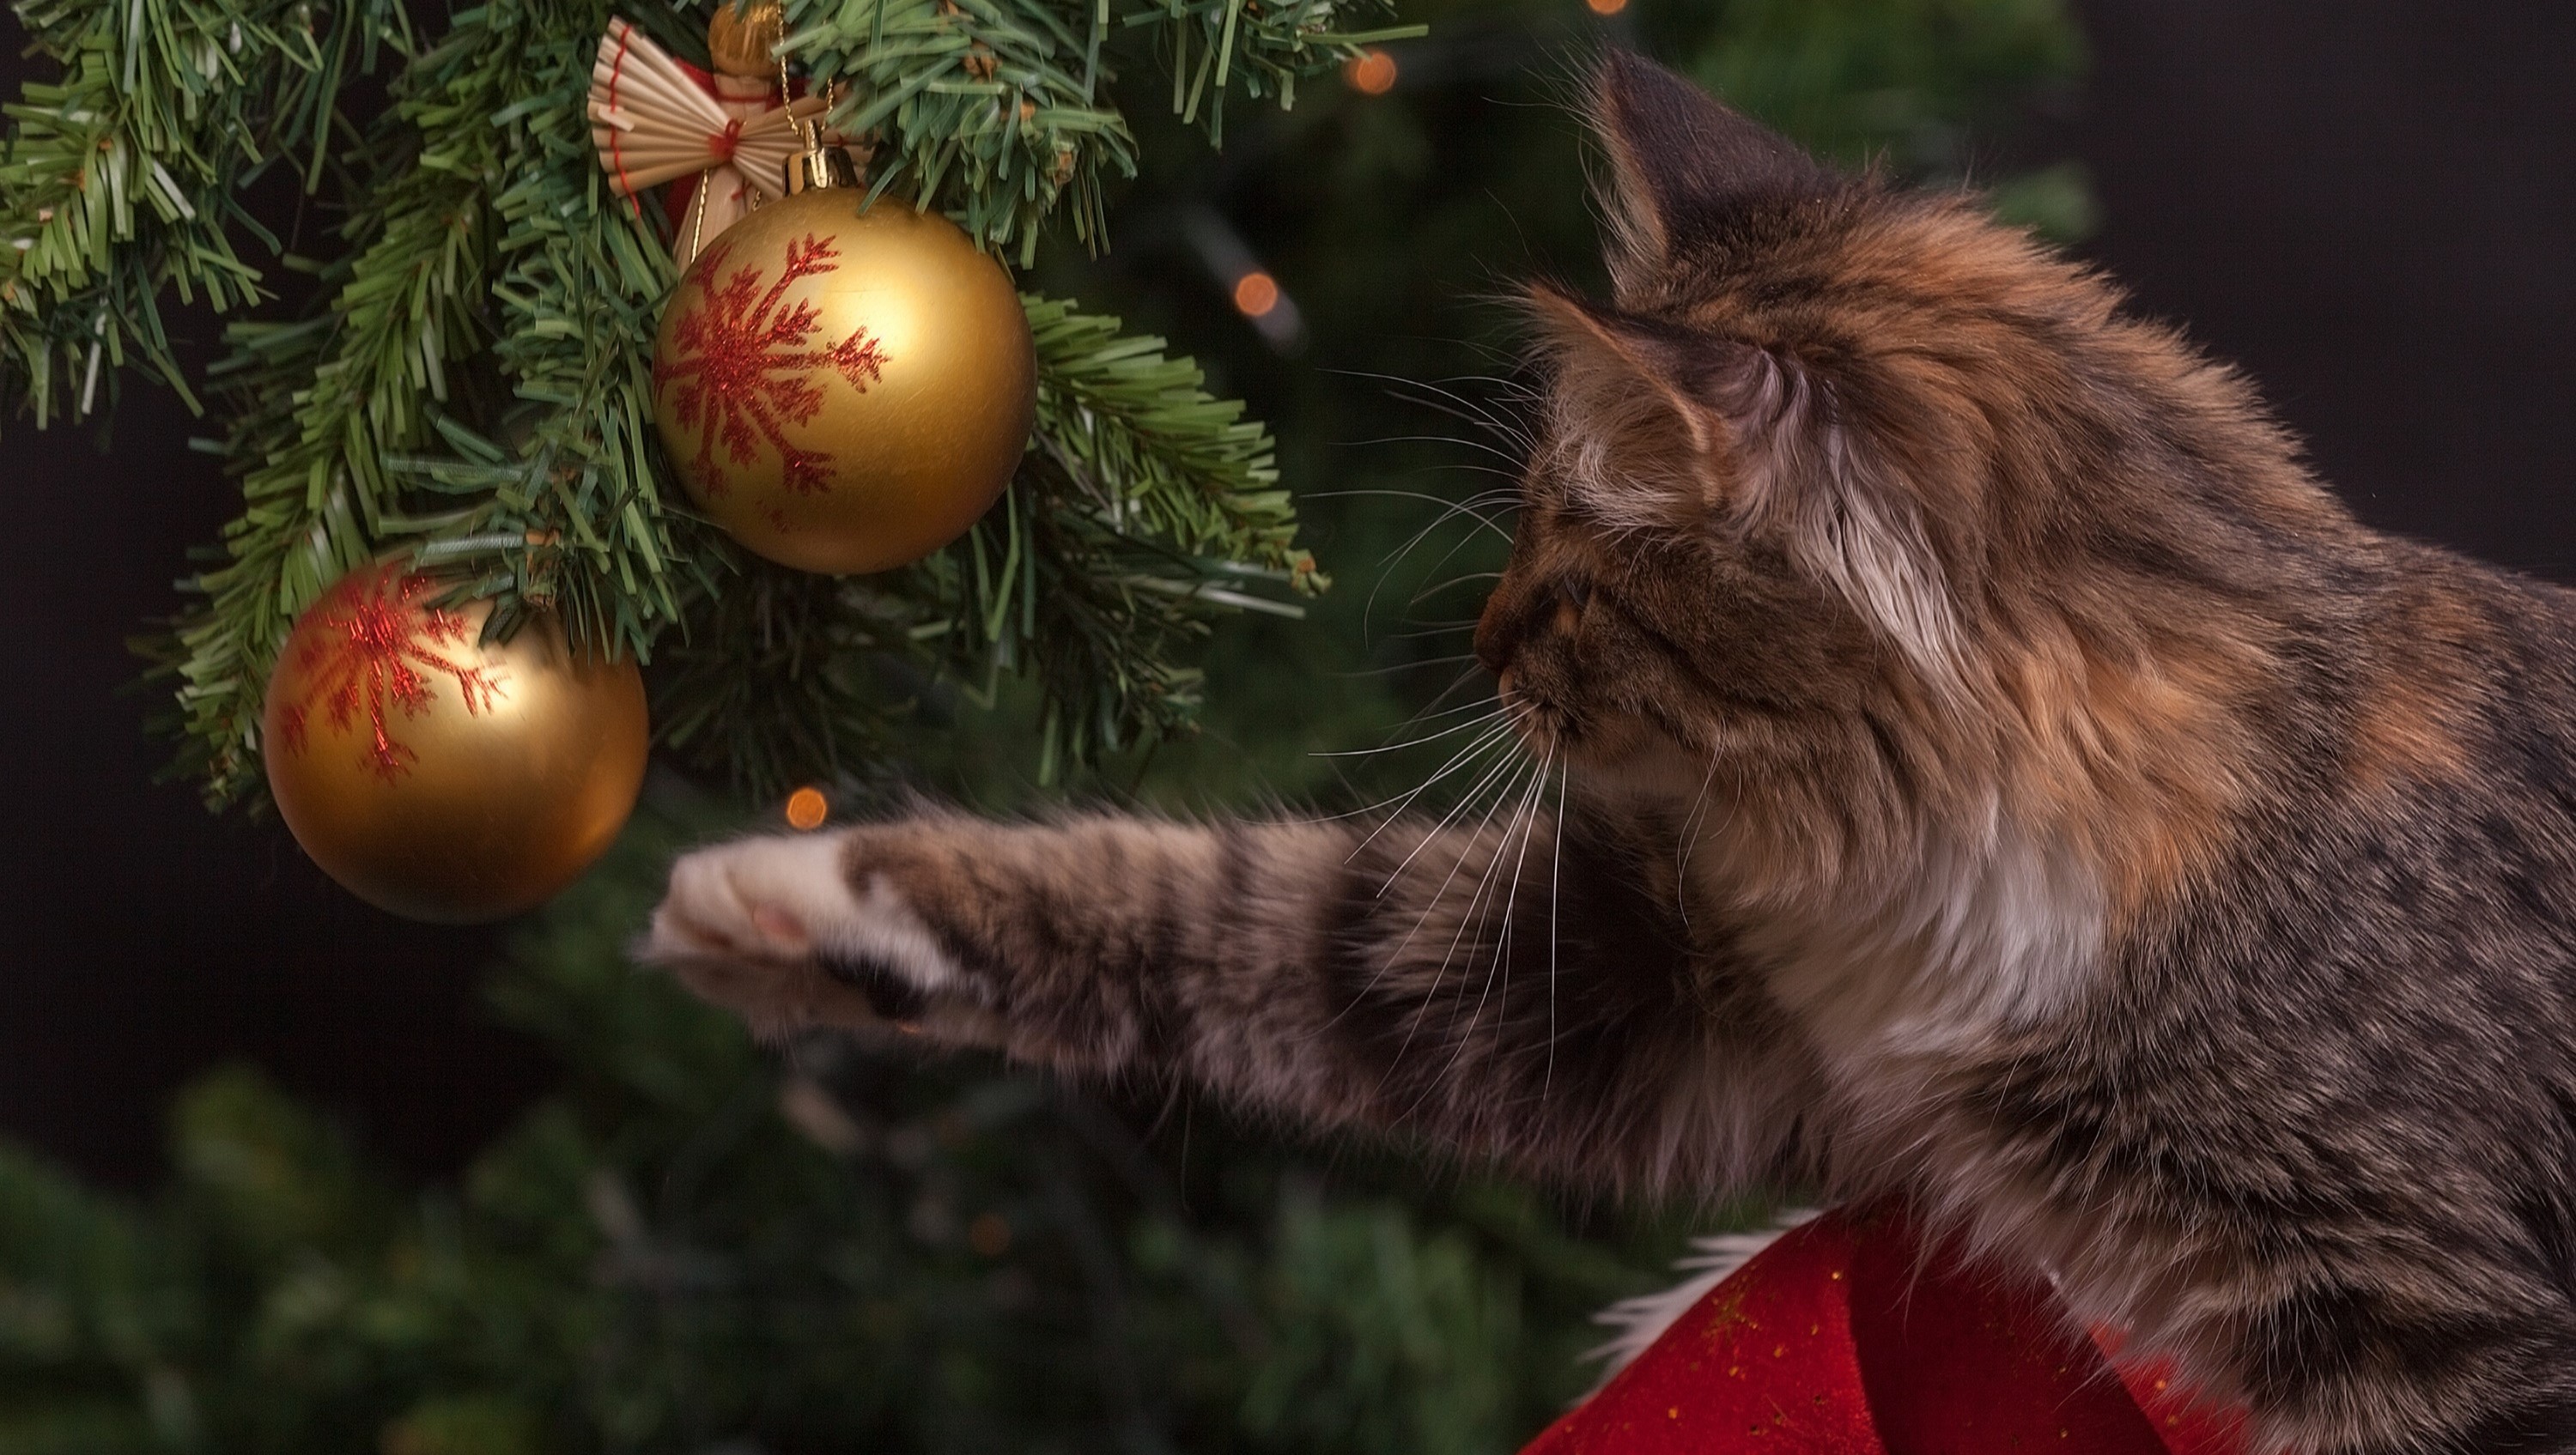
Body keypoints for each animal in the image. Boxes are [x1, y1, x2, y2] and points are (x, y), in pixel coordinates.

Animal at [649, 48, 2576, 1452]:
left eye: (1573, 571)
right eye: (1520, 528)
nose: (1484, 646)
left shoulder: (2448, 1321)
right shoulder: (1661, 987)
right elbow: (1223, 904)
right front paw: (790, 898)